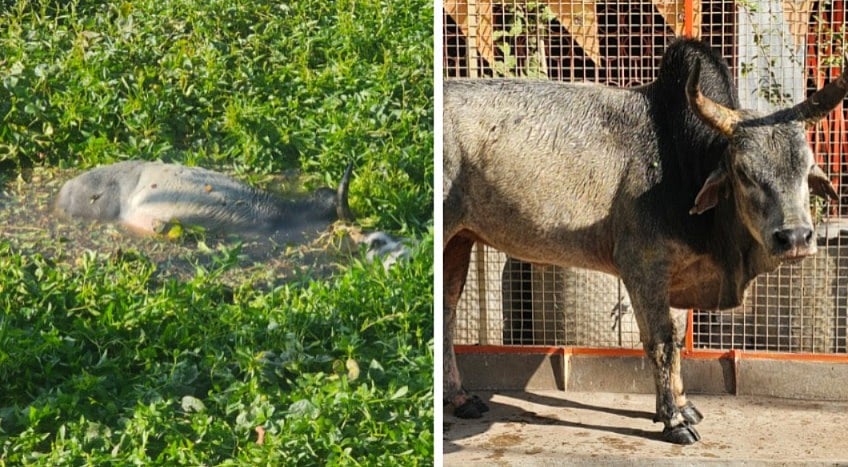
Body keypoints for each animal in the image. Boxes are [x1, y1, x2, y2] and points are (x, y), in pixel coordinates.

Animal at [443, 38, 847, 444]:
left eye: (807, 167)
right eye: (744, 172)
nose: (795, 237)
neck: (681, 161)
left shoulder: (677, 275)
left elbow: (677, 340)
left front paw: (685, 405)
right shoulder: (643, 266)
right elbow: (661, 341)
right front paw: (674, 420)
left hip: (459, 242)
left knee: (446, 311)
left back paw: (460, 399)